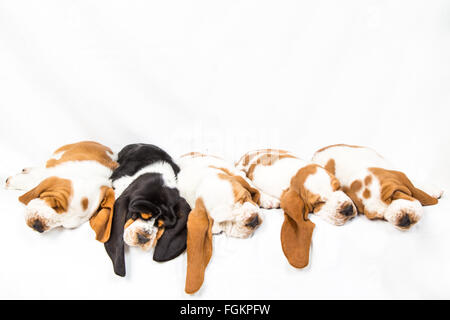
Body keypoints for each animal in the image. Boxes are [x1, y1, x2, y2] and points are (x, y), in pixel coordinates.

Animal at [178, 153, 266, 296]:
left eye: (244, 198)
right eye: (225, 223)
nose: (253, 220)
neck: (201, 179)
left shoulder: (234, 173)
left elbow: (252, 185)